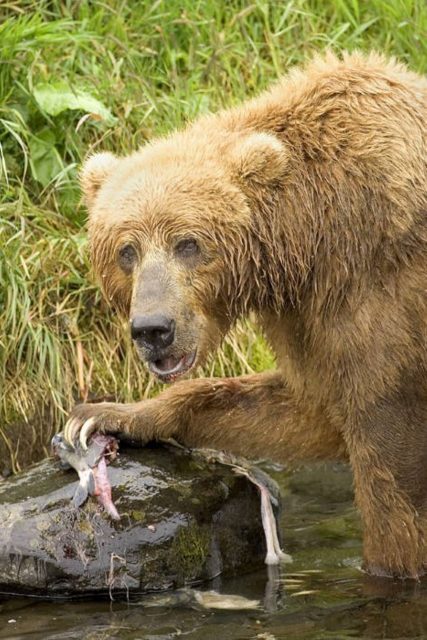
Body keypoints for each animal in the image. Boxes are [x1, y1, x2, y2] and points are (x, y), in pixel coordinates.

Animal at [65, 51, 427, 580]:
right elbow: (309, 408)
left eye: (188, 243)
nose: (153, 329)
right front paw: (106, 415)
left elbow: (390, 467)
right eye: (126, 250)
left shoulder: (383, 290)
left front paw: (389, 567)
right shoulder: (310, 315)